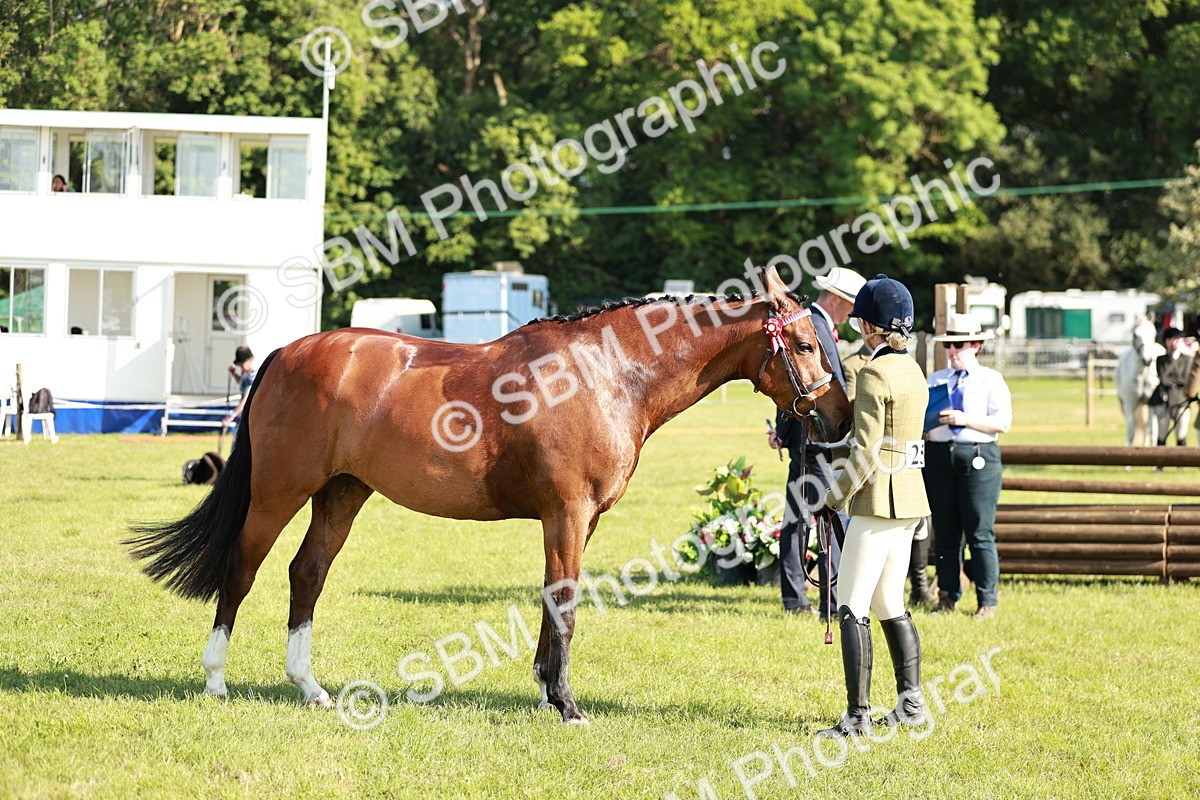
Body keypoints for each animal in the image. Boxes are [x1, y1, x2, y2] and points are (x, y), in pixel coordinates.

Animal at [127, 266, 852, 725]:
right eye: (806, 343)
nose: (841, 421)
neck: (607, 373)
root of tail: (285, 353)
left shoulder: (577, 521)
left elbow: (552, 598)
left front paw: (545, 689)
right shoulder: (567, 513)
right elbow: (565, 601)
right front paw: (566, 704)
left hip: (342, 493)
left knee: (306, 574)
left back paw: (310, 688)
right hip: (280, 491)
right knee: (242, 569)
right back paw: (215, 680)